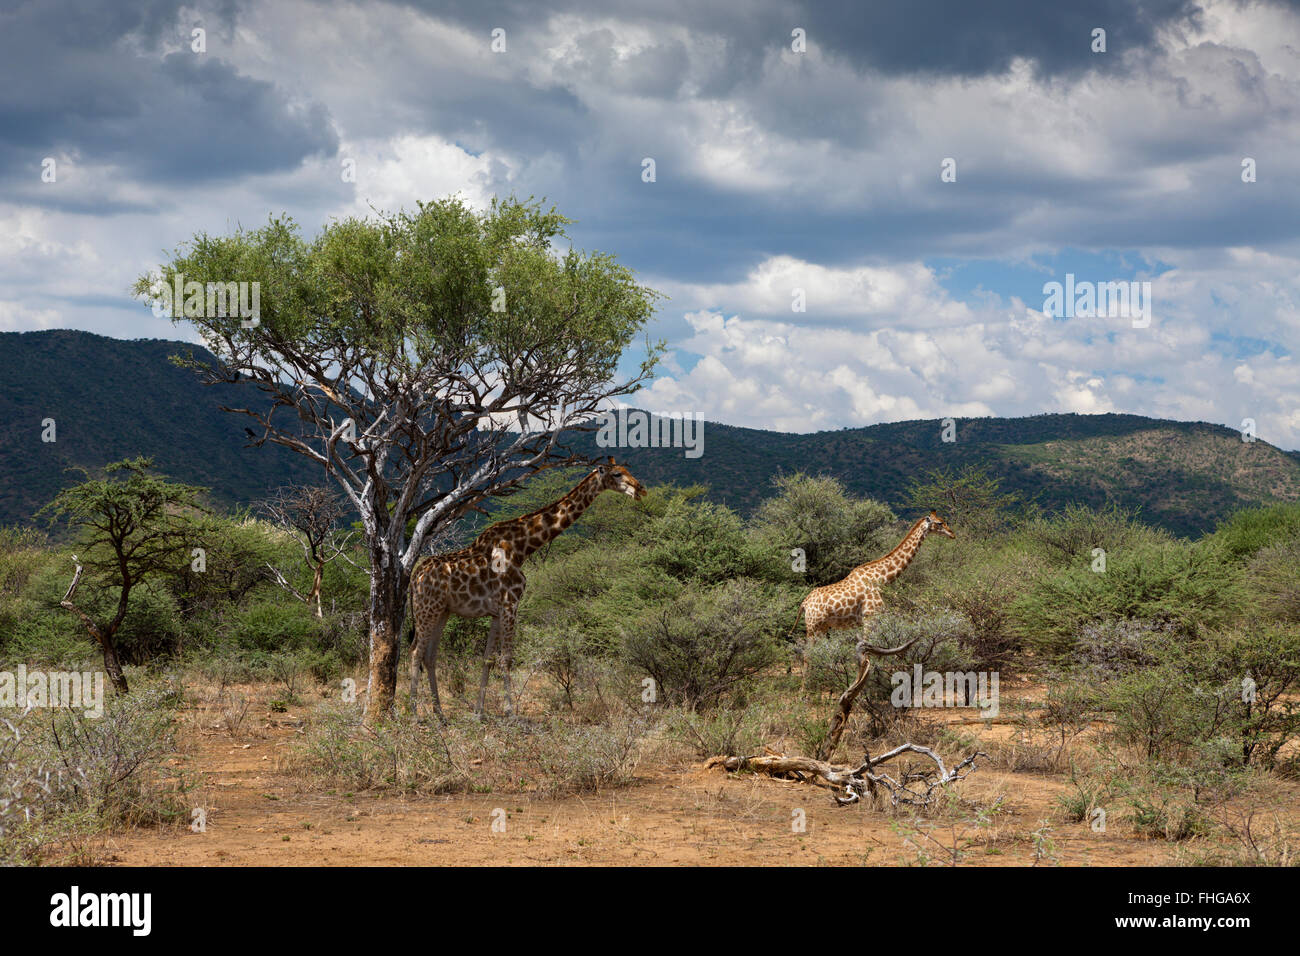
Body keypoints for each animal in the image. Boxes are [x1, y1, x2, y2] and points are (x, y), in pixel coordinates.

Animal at [407, 458, 646, 719]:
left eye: (627, 470)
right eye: (617, 474)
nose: (640, 489)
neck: (523, 547)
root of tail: (414, 577)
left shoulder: (496, 612)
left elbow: (488, 659)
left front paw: (479, 712)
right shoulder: (510, 604)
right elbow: (507, 659)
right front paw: (511, 712)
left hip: (442, 611)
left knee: (430, 655)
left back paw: (440, 715)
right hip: (427, 609)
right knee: (415, 653)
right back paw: (415, 714)